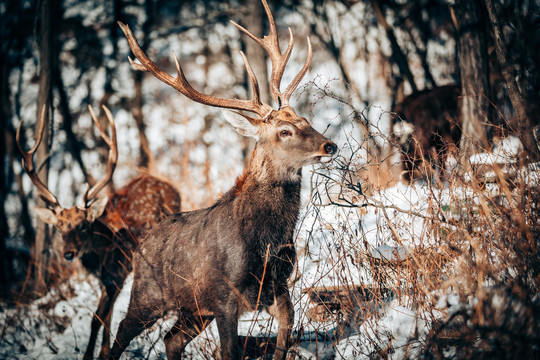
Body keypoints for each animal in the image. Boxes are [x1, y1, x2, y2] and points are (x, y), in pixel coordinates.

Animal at [16, 105, 181, 360]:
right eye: (59, 227)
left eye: (84, 225)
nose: (69, 253)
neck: (103, 252)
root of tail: (170, 186)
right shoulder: (106, 280)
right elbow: (104, 317)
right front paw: (98, 352)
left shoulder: (119, 271)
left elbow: (98, 317)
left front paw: (97, 354)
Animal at [109, 1, 336, 358]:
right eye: (284, 131)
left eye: (304, 119)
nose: (330, 145)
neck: (264, 242)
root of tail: (141, 242)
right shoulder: (224, 296)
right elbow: (229, 350)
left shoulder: (277, 286)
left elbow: (285, 336)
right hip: (147, 295)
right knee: (119, 332)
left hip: (192, 309)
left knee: (171, 338)